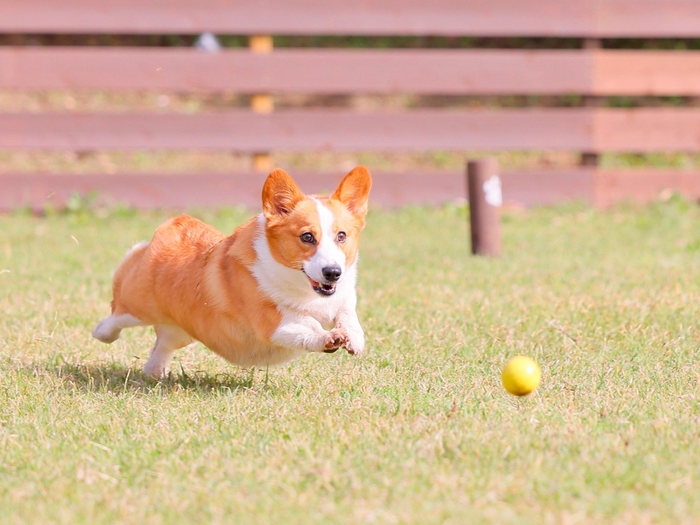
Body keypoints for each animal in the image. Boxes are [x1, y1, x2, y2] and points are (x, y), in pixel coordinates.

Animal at [95, 166, 374, 374]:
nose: (333, 273)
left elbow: (347, 314)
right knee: (117, 313)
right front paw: (329, 337)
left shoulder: (342, 299)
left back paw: (154, 372)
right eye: (307, 237)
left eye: (341, 236)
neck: (304, 290)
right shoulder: (273, 321)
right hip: (138, 305)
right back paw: (102, 332)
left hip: (181, 331)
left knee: (163, 343)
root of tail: (176, 223)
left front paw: (354, 338)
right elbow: (308, 324)